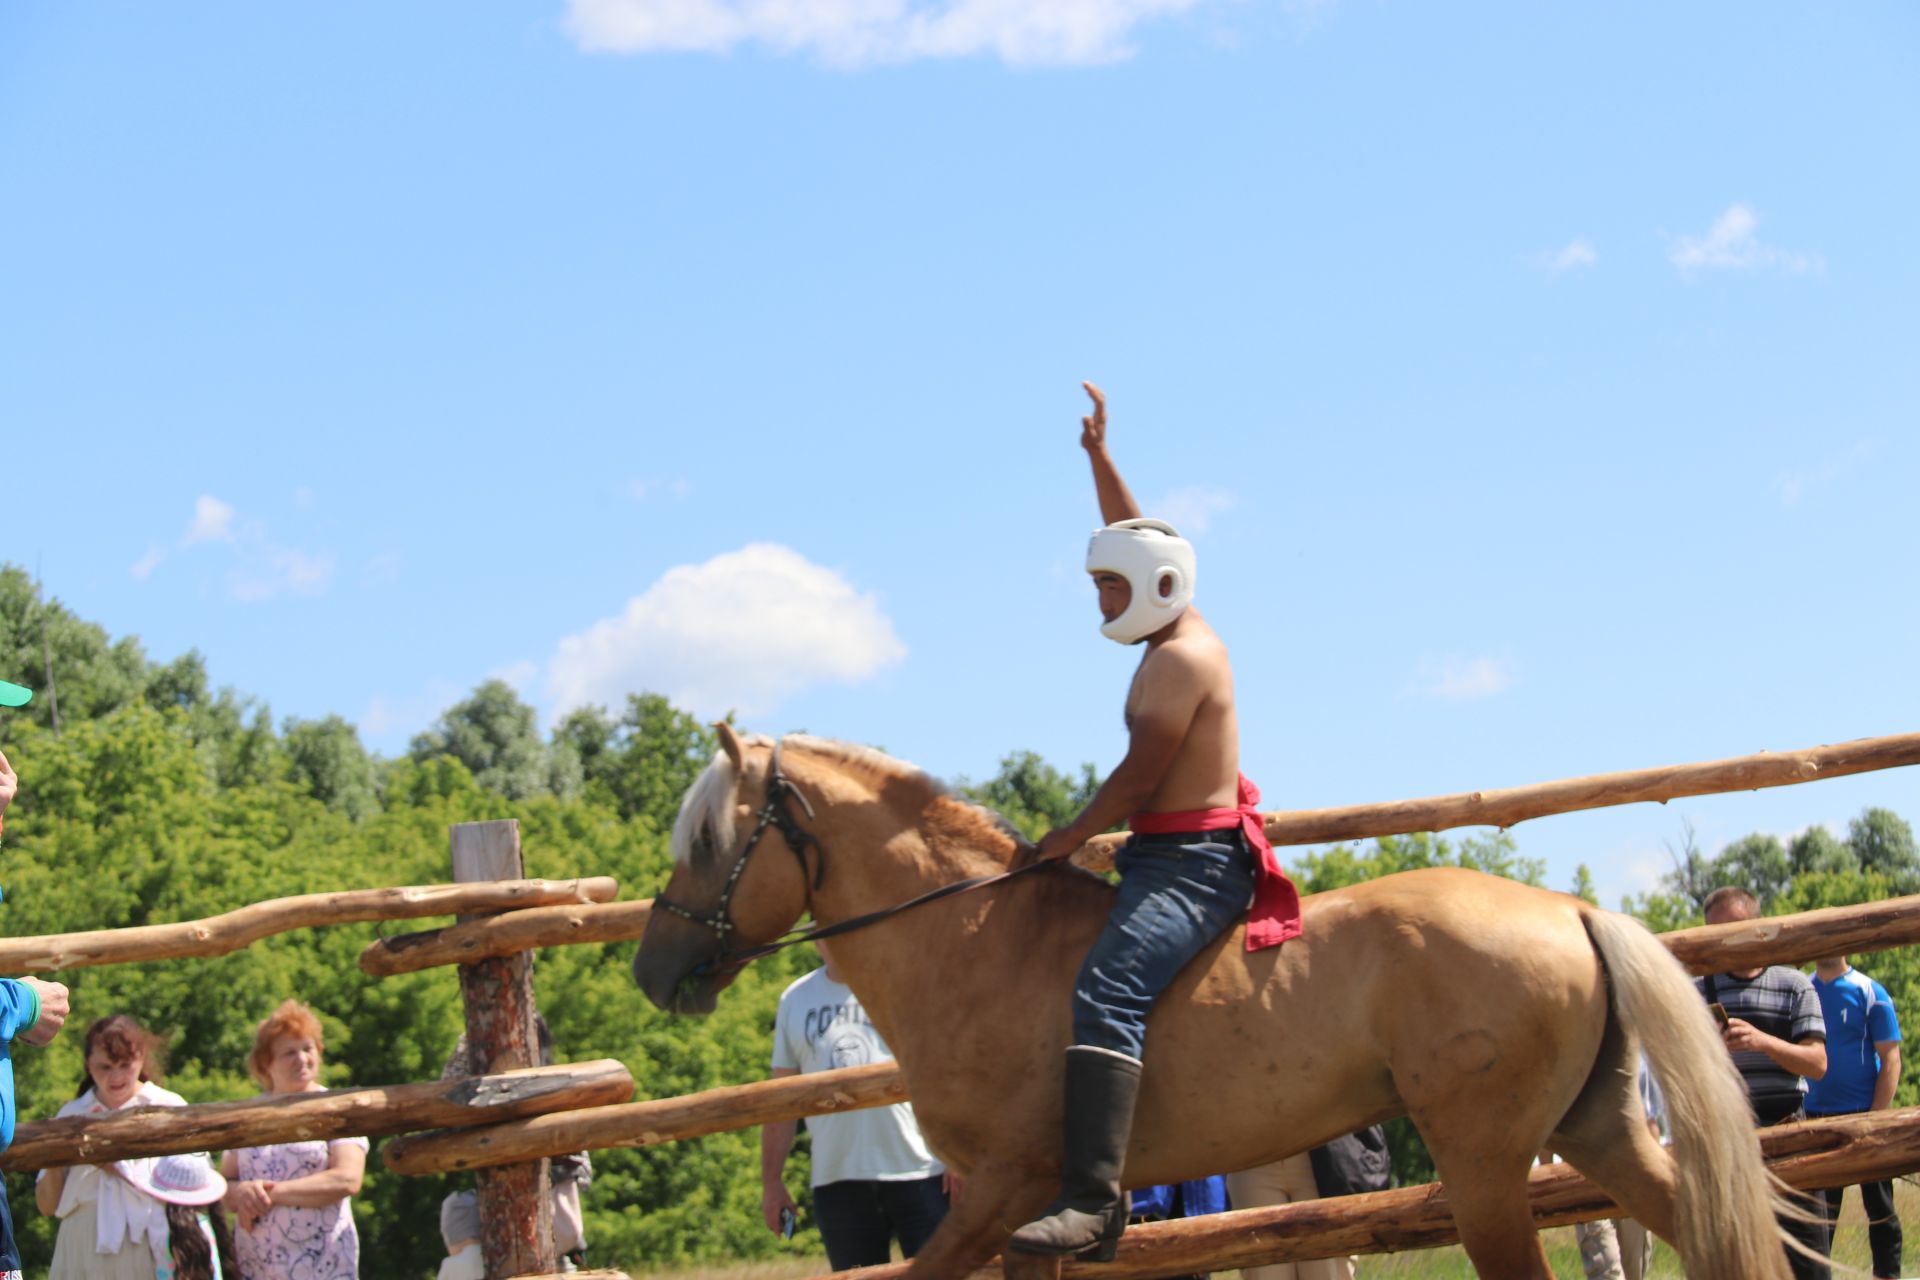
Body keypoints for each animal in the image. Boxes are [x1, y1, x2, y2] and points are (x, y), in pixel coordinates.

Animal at [637, 729, 1789, 1280]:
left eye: (709, 838)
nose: (652, 969)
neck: (972, 942)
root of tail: (1571, 910)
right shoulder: (1032, 1221)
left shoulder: (1002, 1190)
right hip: (1597, 1128)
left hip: (1489, 1162)